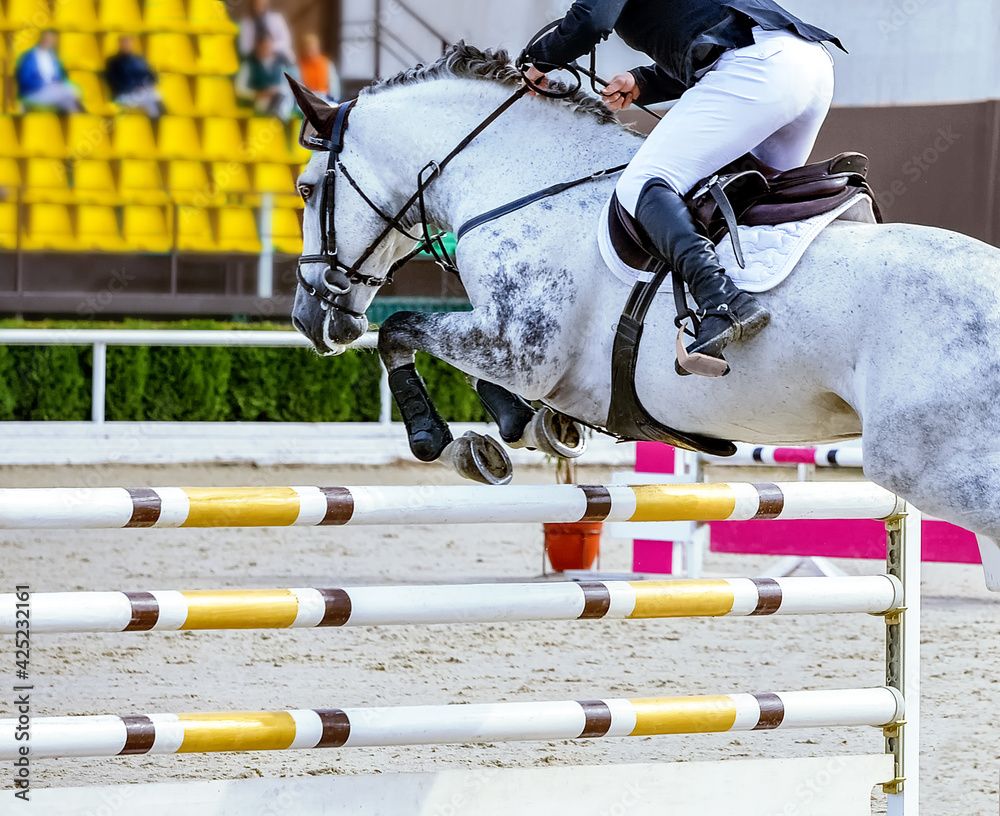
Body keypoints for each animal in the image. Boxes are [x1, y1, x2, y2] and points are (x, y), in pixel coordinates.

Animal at [289, 44, 1000, 591]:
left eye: (304, 187)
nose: (307, 319)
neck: (526, 180)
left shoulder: (520, 345)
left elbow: (400, 329)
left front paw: (443, 440)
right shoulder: (519, 350)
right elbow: (478, 376)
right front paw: (524, 428)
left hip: (935, 472)